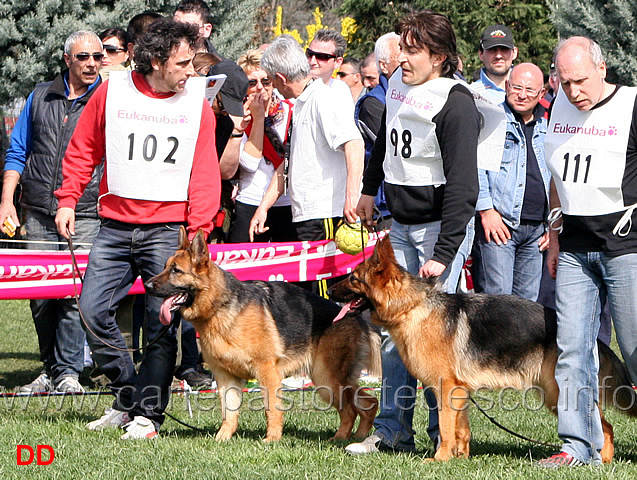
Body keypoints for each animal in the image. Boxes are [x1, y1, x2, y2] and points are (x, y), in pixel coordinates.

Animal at [147, 228, 380, 442]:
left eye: (176, 271)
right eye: (165, 267)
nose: (147, 285)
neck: (218, 306)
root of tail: (355, 317)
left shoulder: (267, 372)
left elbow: (271, 408)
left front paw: (272, 439)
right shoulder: (225, 377)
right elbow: (228, 412)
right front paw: (222, 438)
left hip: (327, 379)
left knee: (351, 409)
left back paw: (341, 438)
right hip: (328, 381)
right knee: (368, 404)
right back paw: (358, 436)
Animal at [328, 236, 636, 462]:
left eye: (354, 279)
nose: (329, 291)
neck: (412, 307)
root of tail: (594, 339)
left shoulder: (445, 388)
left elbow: (445, 428)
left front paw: (439, 459)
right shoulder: (460, 390)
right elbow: (461, 429)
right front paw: (460, 458)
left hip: (557, 392)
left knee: (604, 426)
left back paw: (601, 459)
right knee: (603, 426)